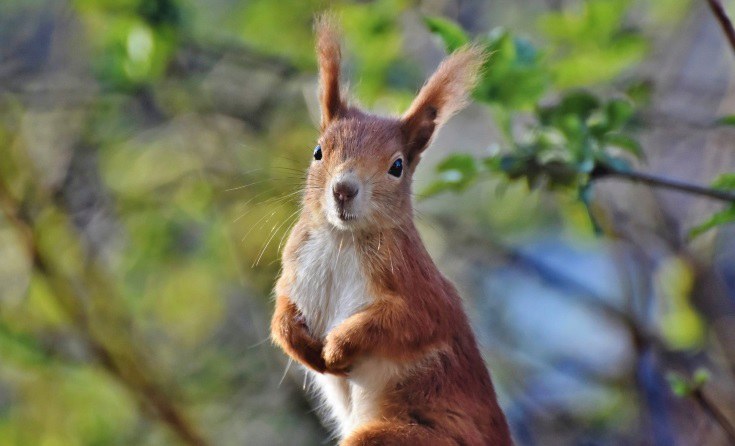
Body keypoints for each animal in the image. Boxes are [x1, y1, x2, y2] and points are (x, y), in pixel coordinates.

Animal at [270, 15, 512, 444]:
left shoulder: (420, 289)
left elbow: (408, 322)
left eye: (396, 166)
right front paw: (302, 346)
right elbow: (281, 312)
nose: (343, 189)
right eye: (318, 152)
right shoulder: (294, 264)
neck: (342, 239)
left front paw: (337, 347)